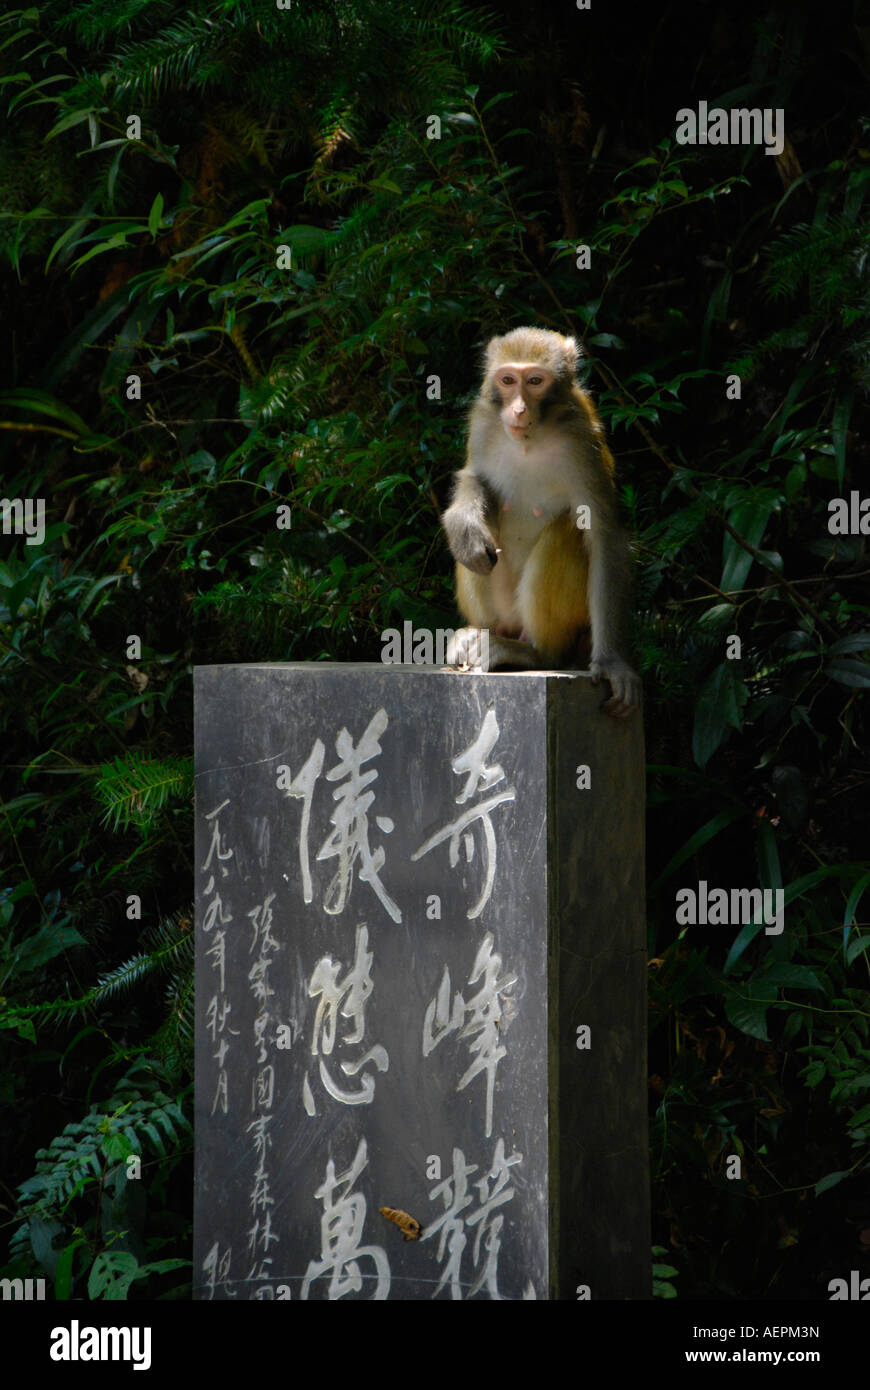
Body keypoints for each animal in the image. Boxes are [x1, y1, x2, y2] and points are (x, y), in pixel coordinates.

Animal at [441, 327, 640, 717]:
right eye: (507, 380)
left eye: (535, 381)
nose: (518, 409)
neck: (530, 440)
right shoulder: (484, 422)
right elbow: (475, 478)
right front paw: (464, 525)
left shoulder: (581, 437)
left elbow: (603, 533)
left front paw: (612, 663)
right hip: (504, 611)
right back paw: (477, 634)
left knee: (566, 529)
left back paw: (535, 654)